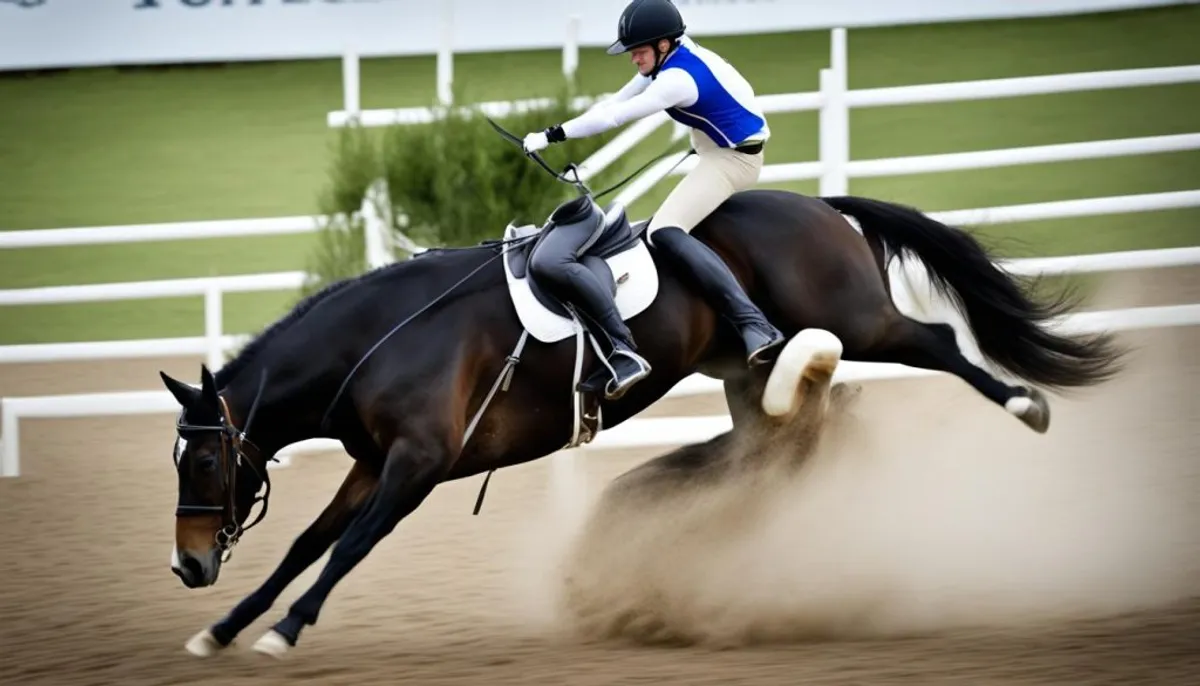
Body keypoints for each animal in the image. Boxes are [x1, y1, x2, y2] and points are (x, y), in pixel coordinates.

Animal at [162, 146, 1123, 657]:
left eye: (205, 456)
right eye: (180, 458)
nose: (187, 565)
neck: (384, 338)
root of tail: (818, 206)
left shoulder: (417, 466)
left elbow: (348, 548)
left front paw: (287, 628)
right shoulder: (371, 467)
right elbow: (303, 544)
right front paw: (225, 626)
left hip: (858, 319)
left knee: (936, 346)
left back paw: (1024, 404)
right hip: (746, 368)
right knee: (770, 441)